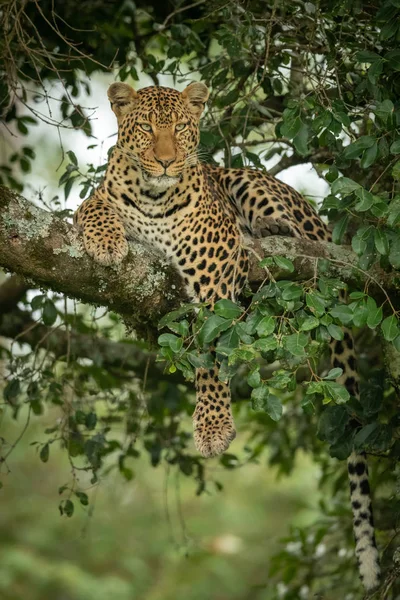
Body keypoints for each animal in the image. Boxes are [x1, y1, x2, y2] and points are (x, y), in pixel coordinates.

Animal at [74, 81, 382, 592]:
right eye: (146, 128)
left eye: (181, 127)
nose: (166, 161)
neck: (153, 197)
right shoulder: (101, 199)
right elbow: (93, 206)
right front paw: (105, 242)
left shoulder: (215, 269)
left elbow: (213, 354)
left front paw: (213, 426)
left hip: (252, 185)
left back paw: (274, 230)